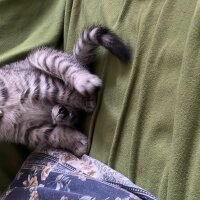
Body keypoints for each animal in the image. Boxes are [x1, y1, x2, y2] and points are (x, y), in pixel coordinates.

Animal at [0, 25, 130, 156]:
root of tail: (75, 59)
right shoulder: (29, 132)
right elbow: (54, 135)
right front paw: (77, 143)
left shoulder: (41, 85)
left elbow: (68, 94)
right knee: (73, 115)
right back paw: (63, 113)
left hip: (42, 61)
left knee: (72, 73)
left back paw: (84, 83)